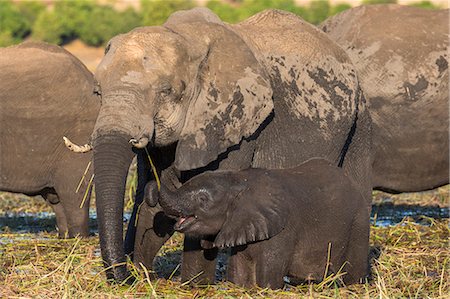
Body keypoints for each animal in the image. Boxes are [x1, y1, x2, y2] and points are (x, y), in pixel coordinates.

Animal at [146, 161, 370, 290]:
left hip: (358, 223)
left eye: (202, 200)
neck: (239, 180)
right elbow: (238, 271)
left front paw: (267, 290)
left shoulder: (283, 230)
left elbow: (269, 277)